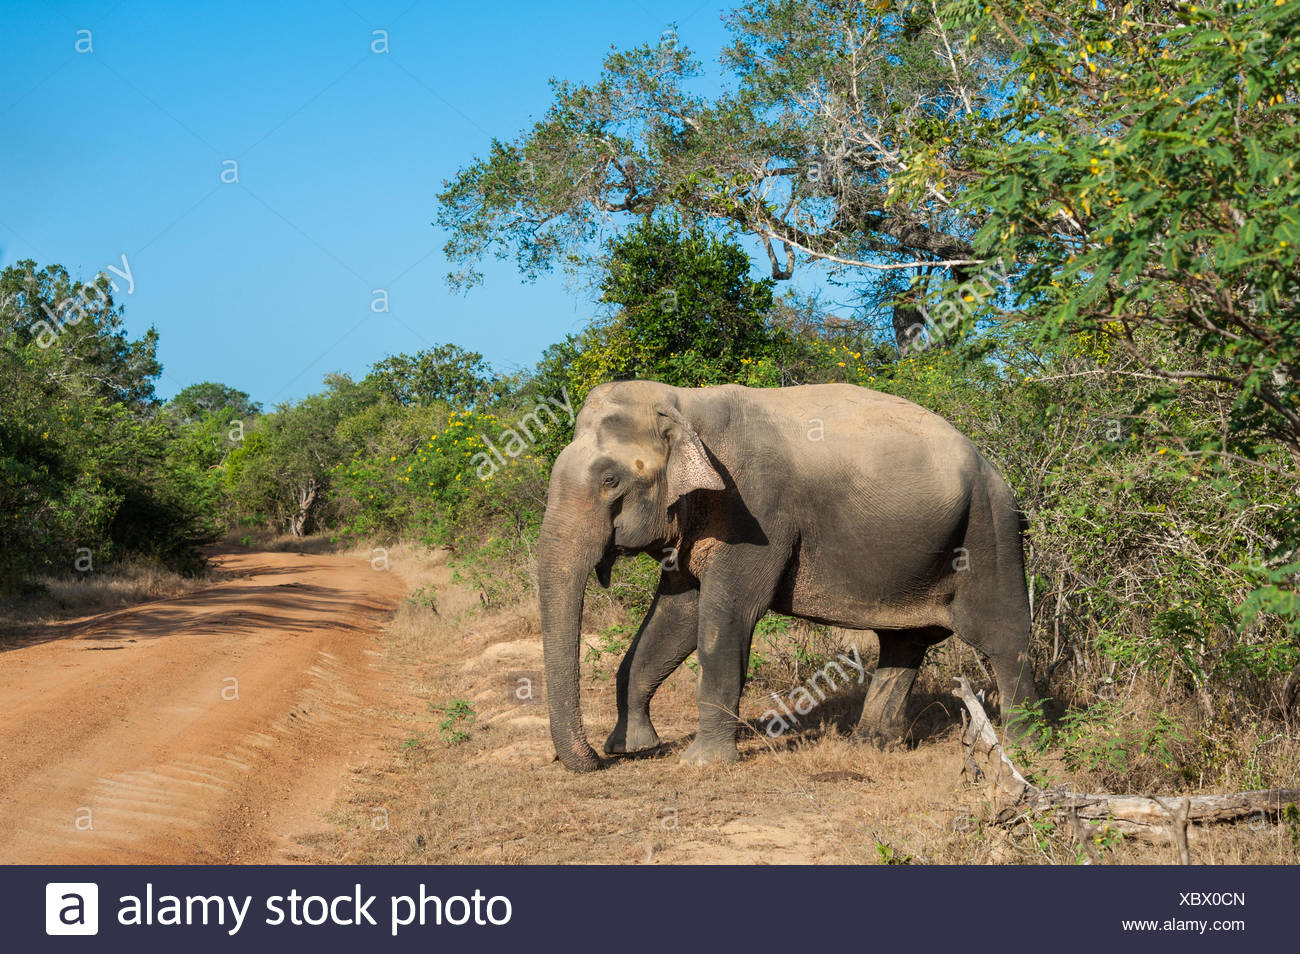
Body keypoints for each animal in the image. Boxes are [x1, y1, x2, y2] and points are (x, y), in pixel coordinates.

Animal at [538, 376, 1034, 774]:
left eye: (610, 481)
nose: (591, 760)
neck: (686, 404)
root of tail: (994, 470)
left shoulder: (753, 512)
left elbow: (727, 617)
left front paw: (701, 763)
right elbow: (675, 617)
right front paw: (633, 747)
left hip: (989, 531)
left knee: (1004, 635)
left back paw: (1023, 750)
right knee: (904, 641)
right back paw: (870, 745)